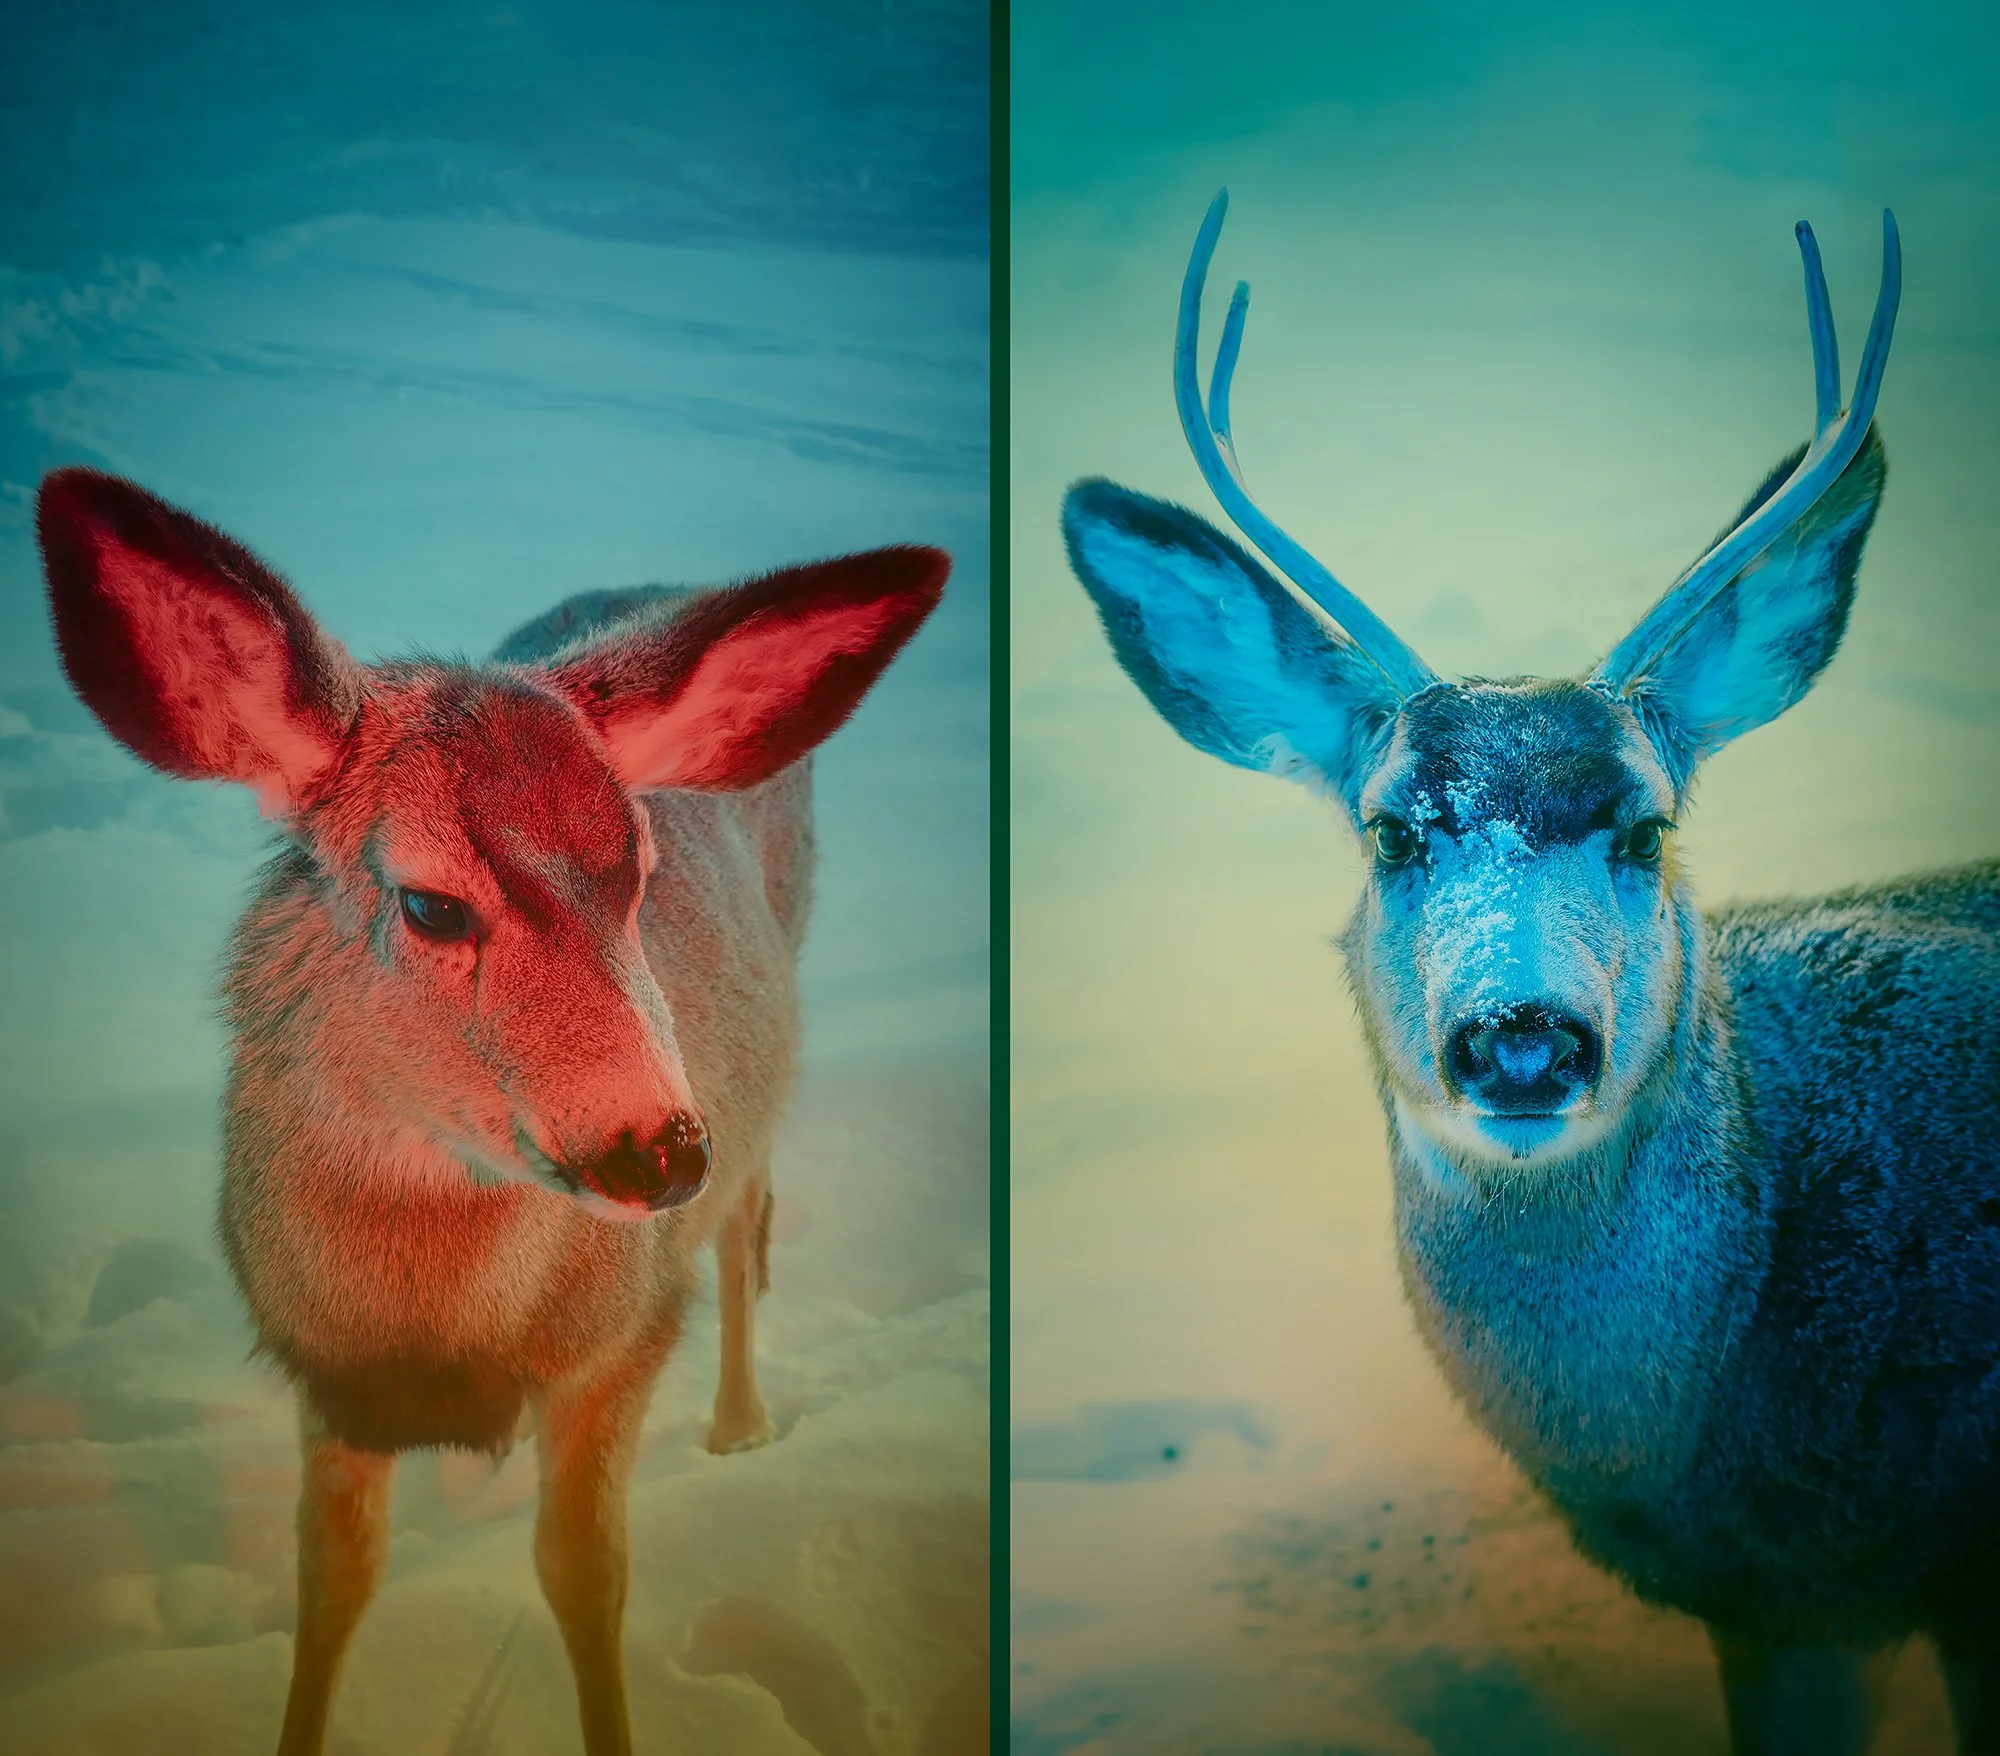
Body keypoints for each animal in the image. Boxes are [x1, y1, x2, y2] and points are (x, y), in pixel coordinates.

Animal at [34, 469, 947, 1756]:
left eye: (638, 874)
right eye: (430, 903)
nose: (661, 1149)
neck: (439, 1324)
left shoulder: (623, 1330)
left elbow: (585, 1577)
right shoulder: (324, 1363)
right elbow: (332, 1585)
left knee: (747, 1225)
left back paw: (739, 1424)